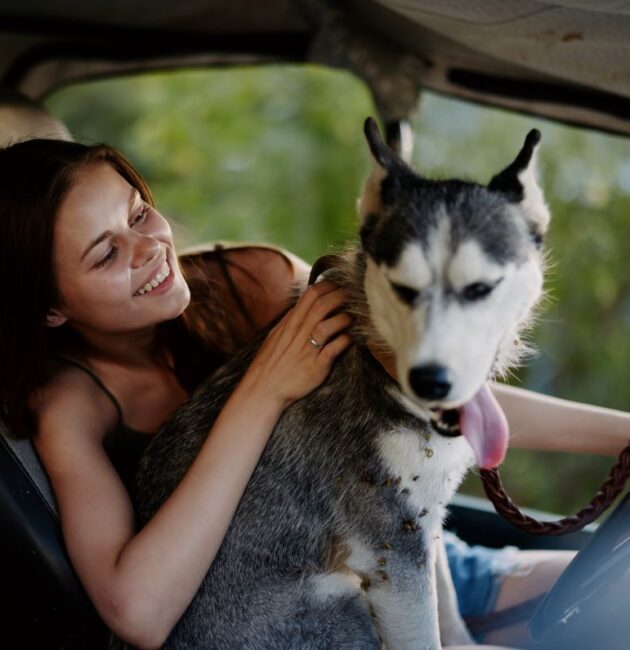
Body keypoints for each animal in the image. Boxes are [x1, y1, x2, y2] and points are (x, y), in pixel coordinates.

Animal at [135, 117, 552, 648]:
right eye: (403, 288)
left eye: (481, 288)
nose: (432, 380)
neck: (377, 361)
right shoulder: (393, 553)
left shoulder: (423, 527)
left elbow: (450, 615)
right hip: (343, 598)